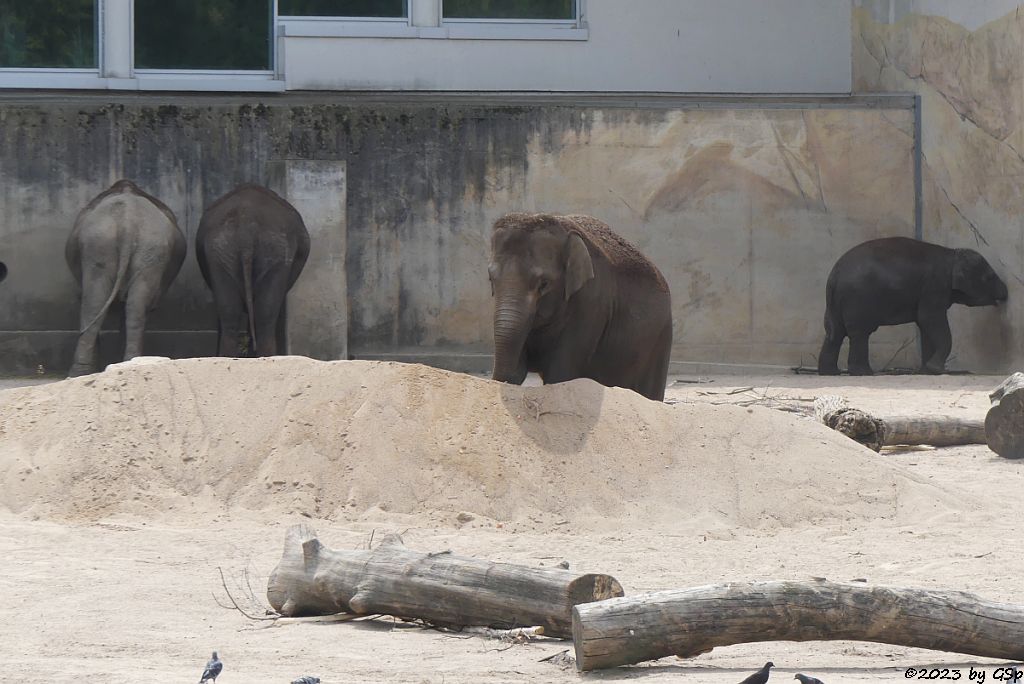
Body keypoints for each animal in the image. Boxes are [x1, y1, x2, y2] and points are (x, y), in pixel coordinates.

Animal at [194, 184, 307, 360]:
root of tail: (247, 223)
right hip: (273, 250)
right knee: (264, 314)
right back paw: (264, 357)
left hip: (222, 251)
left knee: (231, 311)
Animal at [815, 237, 1007, 376]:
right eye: (990, 277)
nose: (1006, 293)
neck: (952, 253)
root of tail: (835, 274)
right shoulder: (934, 286)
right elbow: (930, 319)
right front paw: (936, 369)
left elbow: (926, 326)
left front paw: (927, 371)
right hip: (858, 298)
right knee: (859, 333)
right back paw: (864, 373)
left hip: (835, 303)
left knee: (835, 332)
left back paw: (830, 373)